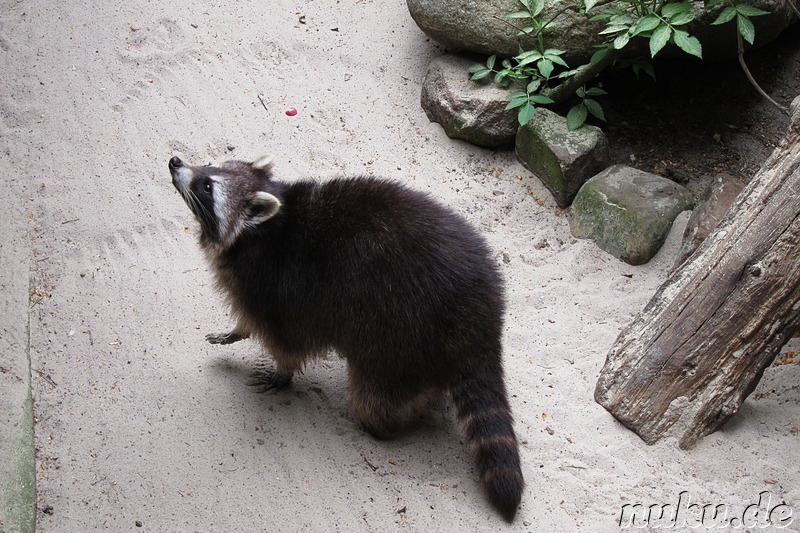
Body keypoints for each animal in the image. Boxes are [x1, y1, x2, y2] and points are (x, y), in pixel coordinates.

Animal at [169, 155, 524, 520]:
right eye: (210, 165)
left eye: (207, 187)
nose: (175, 161)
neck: (261, 229)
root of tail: (482, 318)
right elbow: (250, 320)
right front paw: (237, 330)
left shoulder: (278, 289)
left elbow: (285, 341)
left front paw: (282, 372)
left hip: (398, 338)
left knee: (374, 400)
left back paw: (388, 422)